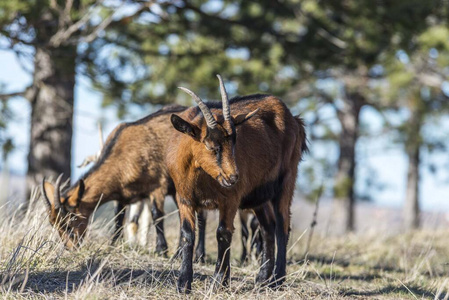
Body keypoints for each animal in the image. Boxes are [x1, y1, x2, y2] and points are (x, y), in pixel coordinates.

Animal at [166, 75, 306, 292]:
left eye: (234, 142)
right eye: (210, 145)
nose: (233, 177)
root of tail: (295, 120)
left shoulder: (230, 200)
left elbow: (223, 233)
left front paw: (218, 282)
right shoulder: (185, 199)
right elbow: (187, 235)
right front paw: (183, 284)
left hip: (286, 181)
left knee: (282, 225)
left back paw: (277, 280)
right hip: (259, 196)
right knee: (268, 227)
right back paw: (262, 278)